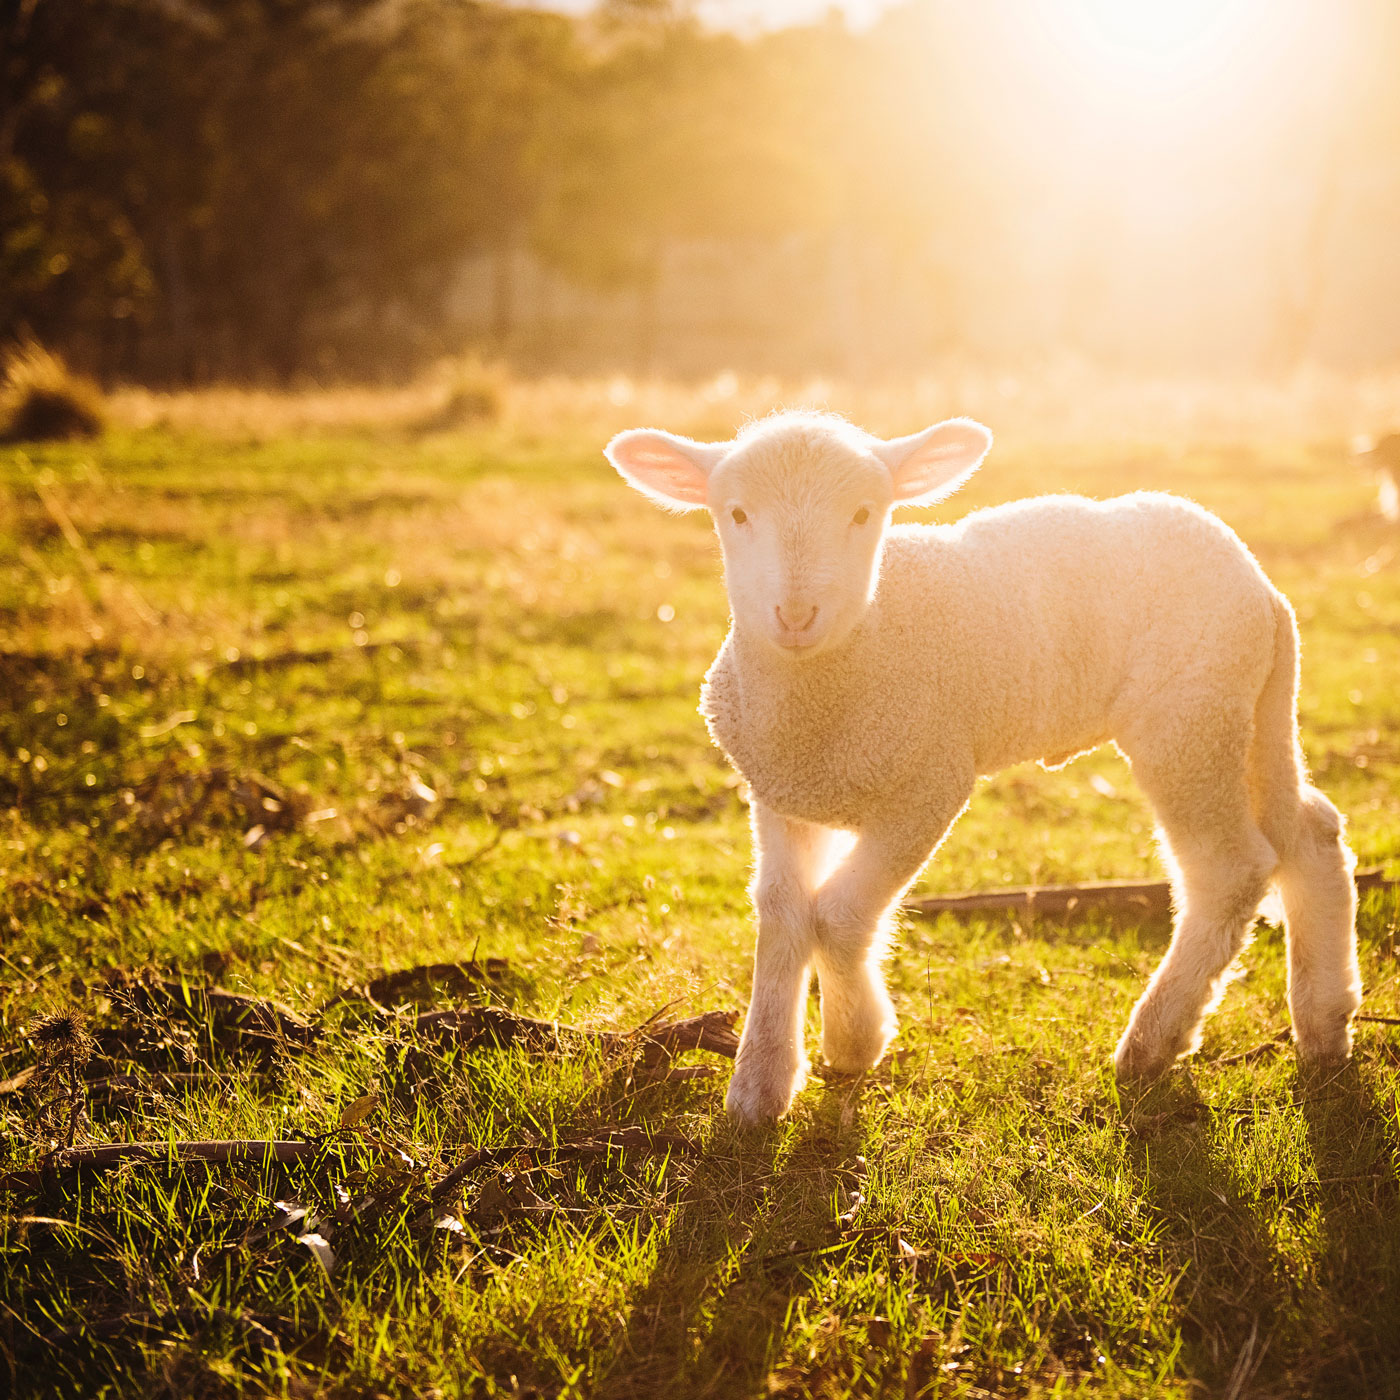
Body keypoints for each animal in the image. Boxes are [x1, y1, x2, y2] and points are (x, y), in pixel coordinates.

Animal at [605, 410, 1363, 1123]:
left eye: (864, 513)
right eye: (735, 513)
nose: (795, 613)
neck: (837, 675)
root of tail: (1263, 587)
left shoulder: (929, 784)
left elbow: (840, 914)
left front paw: (854, 1041)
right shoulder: (781, 792)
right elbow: (783, 912)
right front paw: (761, 1084)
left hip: (1188, 720)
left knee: (1228, 871)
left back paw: (1153, 1041)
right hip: (1253, 711)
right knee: (1311, 833)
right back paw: (1325, 1024)